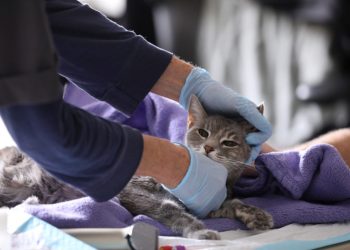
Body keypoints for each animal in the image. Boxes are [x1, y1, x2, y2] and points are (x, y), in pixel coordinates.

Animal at [0, 95, 274, 238]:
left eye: (229, 142)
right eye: (202, 132)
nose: (208, 148)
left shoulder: (208, 204)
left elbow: (230, 204)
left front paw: (256, 214)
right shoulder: (136, 191)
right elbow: (172, 210)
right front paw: (201, 232)